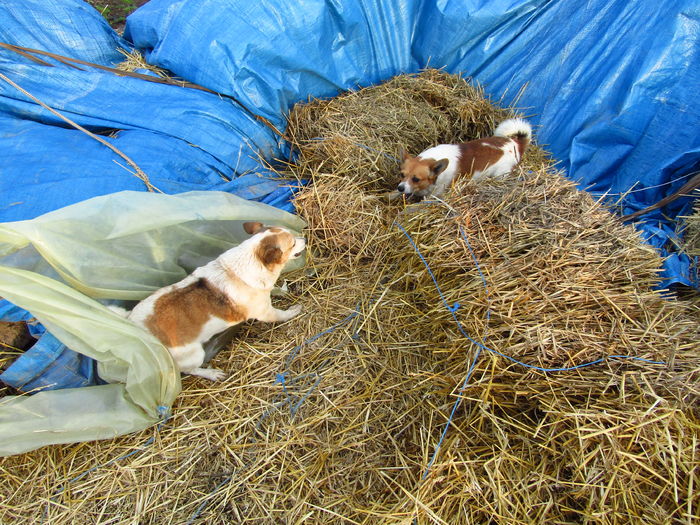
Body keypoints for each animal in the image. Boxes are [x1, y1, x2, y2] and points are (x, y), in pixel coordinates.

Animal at [112, 222, 304, 380]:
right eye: (292, 243)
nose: (304, 237)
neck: (248, 260)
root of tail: (134, 326)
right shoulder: (265, 312)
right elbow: (280, 315)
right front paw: (293, 311)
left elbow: (275, 290)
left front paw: (281, 291)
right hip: (194, 355)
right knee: (190, 370)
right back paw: (211, 373)